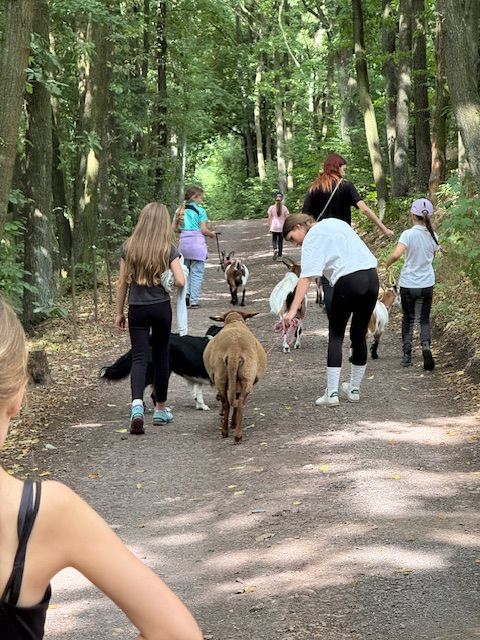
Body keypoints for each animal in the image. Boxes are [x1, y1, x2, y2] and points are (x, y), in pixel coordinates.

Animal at [203, 310, 267, 443]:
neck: (234, 321)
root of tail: (234, 350)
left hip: (222, 377)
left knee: (228, 402)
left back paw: (226, 430)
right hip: (246, 377)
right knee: (240, 402)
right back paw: (236, 433)